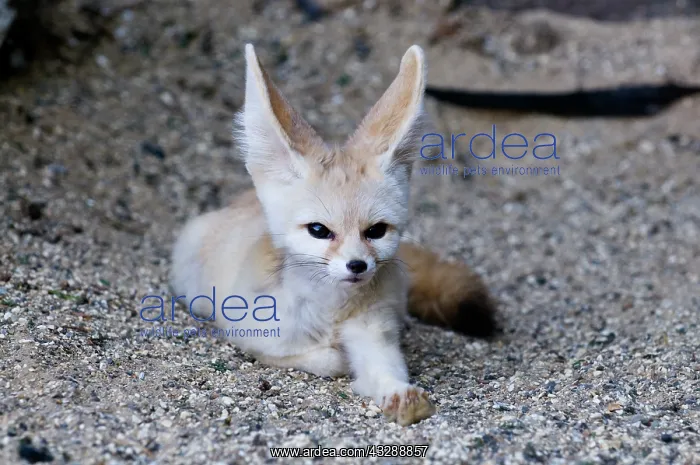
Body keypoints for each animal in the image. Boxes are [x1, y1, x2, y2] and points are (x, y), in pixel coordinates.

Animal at [170, 43, 498, 426]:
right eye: (319, 231)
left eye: (376, 231)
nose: (357, 266)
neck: (332, 314)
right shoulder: (253, 338)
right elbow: (326, 358)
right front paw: (337, 356)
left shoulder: (375, 335)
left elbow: (385, 370)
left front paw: (399, 394)